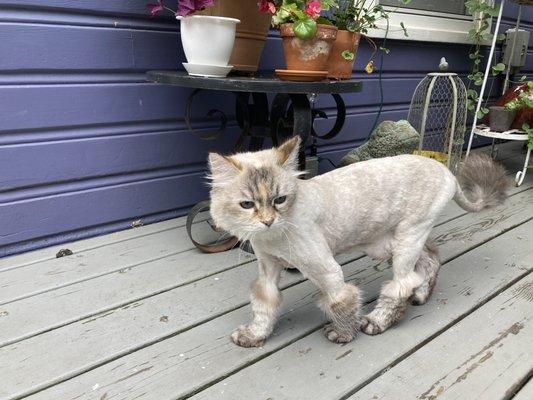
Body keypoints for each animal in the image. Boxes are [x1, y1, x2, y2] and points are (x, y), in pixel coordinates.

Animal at [207, 138, 508, 346]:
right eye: (247, 205)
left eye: (280, 199)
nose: (268, 221)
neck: (273, 237)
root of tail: (446, 171)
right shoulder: (268, 270)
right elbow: (263, 306)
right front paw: (254, 336)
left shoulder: (326, 270)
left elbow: (341, 302)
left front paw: (343, 335)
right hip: (392, 243)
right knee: (430, 260)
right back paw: (422, 295)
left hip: (408, 237)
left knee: (402, 284)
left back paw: (377, 322)